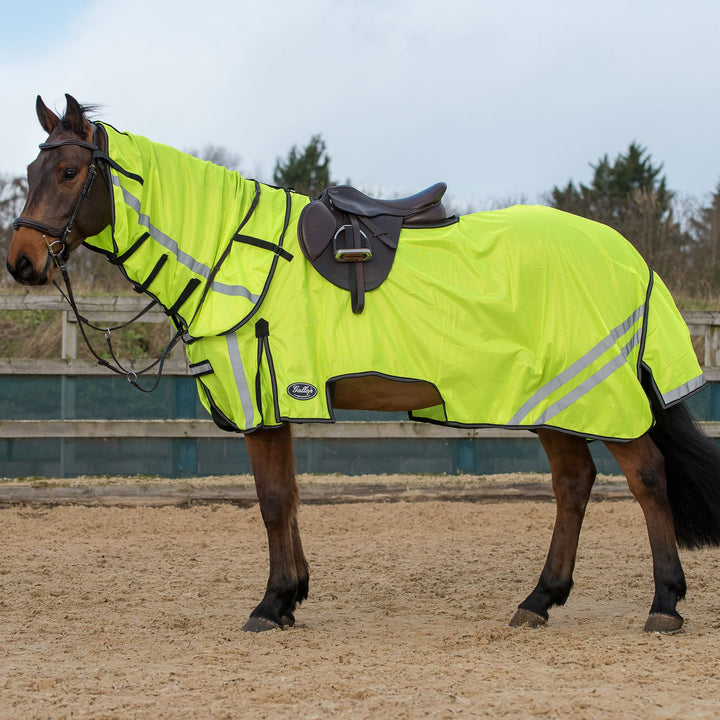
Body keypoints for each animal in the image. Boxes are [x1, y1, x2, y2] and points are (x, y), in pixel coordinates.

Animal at [5, 91, 720, 636]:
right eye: (34, 173)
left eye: (68, 174)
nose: (21, 262)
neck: (233, 248)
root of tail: (627, 255)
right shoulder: (279, 402)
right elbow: (290, 496)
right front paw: (292, 596)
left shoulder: (263, 400)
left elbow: (271, 501)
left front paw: (270, 604)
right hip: (553, 398)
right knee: (573, 484)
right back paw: (539, 600)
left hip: (597, 397)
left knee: (647, 478)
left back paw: (664, 603)